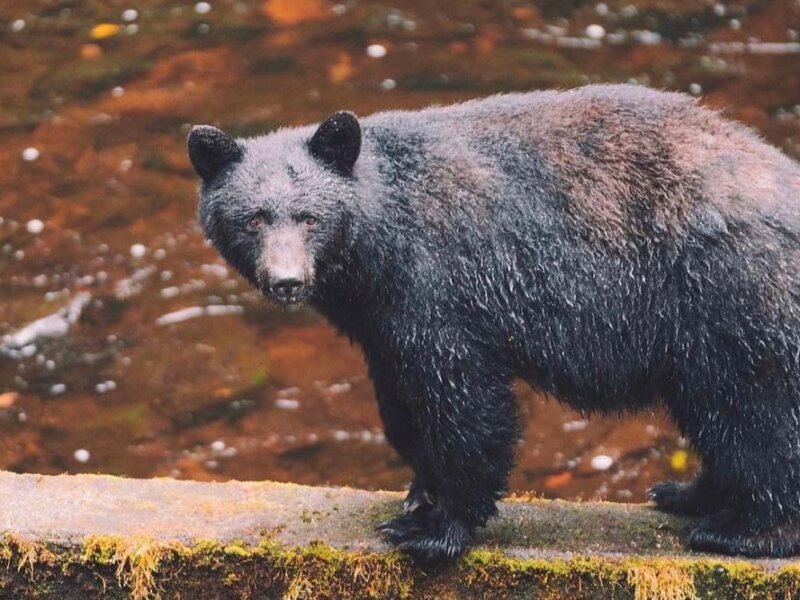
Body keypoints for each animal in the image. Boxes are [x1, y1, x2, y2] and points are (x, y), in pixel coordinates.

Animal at [189, 84, 800, 564]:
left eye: (310, 217)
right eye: (253, 218)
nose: (287, 280)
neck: (378, 248)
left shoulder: (440, 287)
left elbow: (463, 399)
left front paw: (436, 528)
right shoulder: (381, 319)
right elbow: (401, 402)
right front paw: (419, 492)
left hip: (728, 296)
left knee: (754, 416)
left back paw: (745, 530)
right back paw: (690, 493)